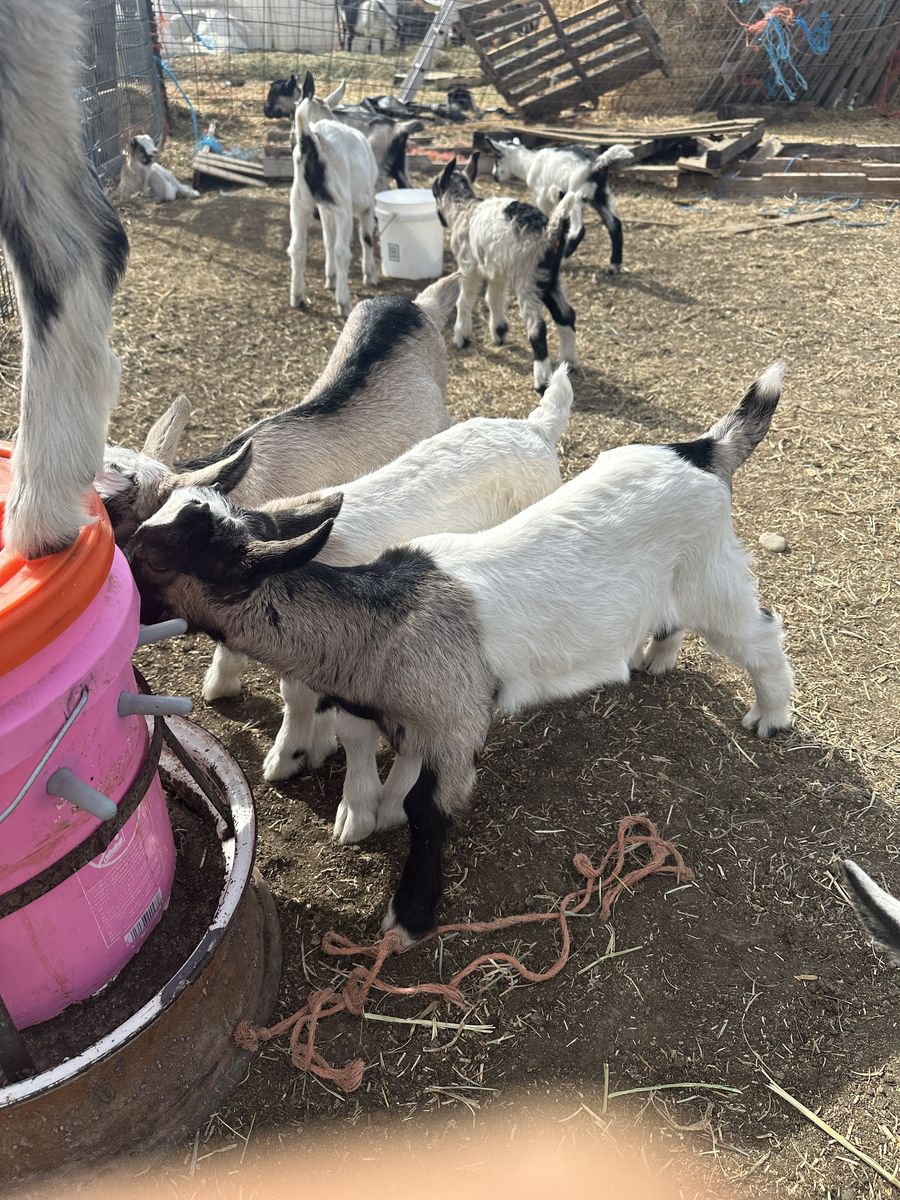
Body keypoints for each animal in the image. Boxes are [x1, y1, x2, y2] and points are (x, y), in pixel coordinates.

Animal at [289, 73, 379, 317]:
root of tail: (310, 138)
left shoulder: (324, 207)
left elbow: (327, 239)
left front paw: (330, 279)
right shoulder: (367, 204)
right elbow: (366, 238)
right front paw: (370, 276)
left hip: (299, 203)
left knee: (298, 246)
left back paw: (298, 297)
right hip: (343, 207)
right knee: (342, 251)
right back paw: (344, 303)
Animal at [432, 154, 578, 394]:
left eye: (433, 190)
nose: (440, 220)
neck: (465, 209)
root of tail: (551, 231)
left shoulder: (468, 267)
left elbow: (464, 301)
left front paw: (461, 336)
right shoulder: (496, 268)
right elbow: (494, 298)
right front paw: (499, 332)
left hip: (527, 279)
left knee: (537, 328)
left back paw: (542, 380)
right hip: (550, 277)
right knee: (566, 314)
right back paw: (568, 361)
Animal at [488, 138, 632, 269]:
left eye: (497, 158)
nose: (494, 176)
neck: (528, 163)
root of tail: (597, 163)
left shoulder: (542, 198)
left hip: (576, 196)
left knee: (579, 231)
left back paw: (562, 261)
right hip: (600, 196)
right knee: (614, 224)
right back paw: (614, 265)